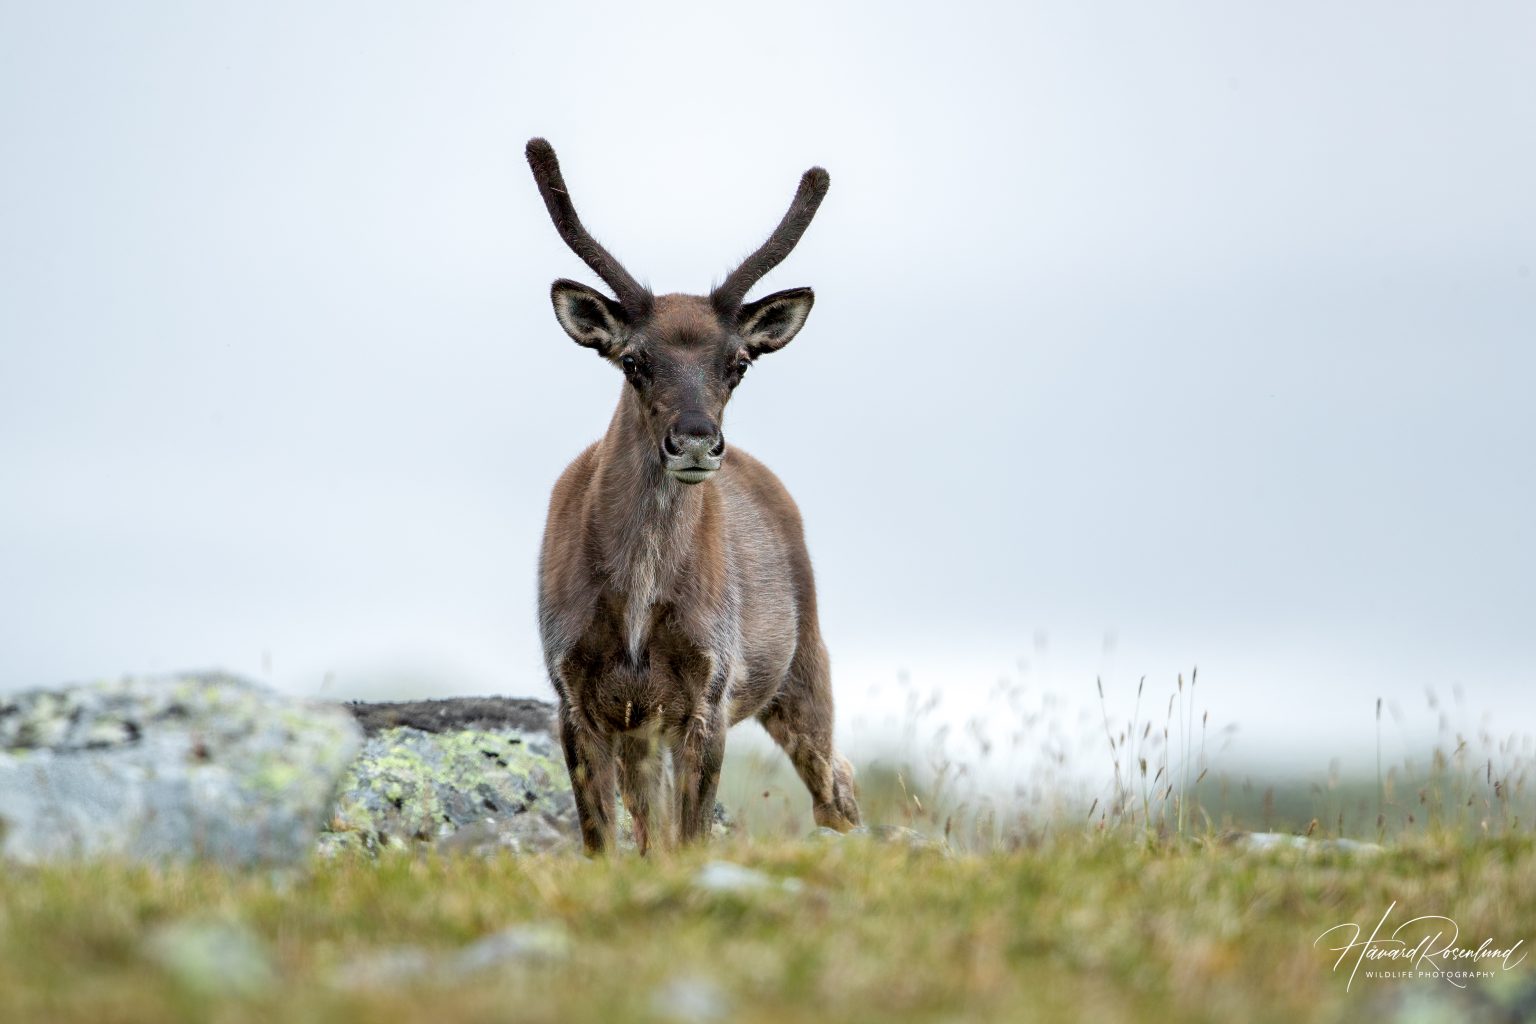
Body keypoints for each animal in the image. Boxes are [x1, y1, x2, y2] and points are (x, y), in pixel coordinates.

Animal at [525, 138, 862, 854]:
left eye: (739, 363)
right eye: (633, 360)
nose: (697, 442)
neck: (635, 603)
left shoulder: (709, 688)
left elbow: (690, 838)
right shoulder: (574, 692)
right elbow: (607, 844)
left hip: (804, 663)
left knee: (837, 780)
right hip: (646, 733)